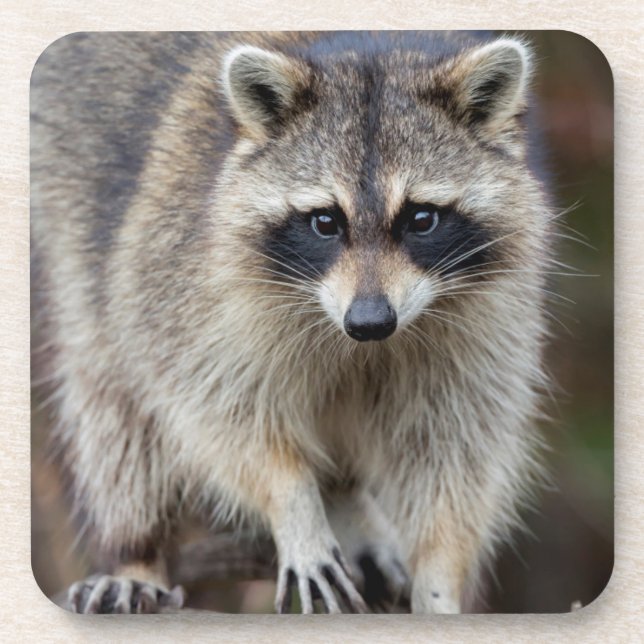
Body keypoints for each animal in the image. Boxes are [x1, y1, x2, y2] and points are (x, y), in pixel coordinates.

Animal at [31, 31, 552, 614]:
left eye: (421, 218)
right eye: (325, 221)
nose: (370, 321)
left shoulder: (487, 319)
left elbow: (456, 450)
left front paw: (439, 576)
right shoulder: (187, 283)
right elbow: (223, 416)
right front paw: (294, 503)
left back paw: (345, 496)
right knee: (111, 401)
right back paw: (136, 551)